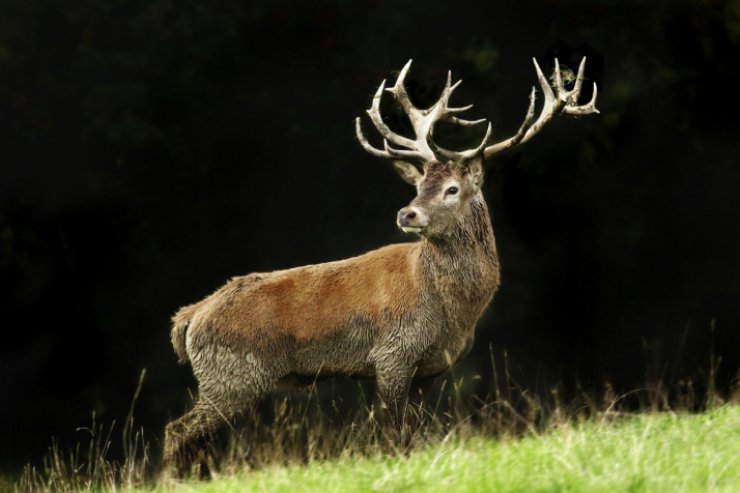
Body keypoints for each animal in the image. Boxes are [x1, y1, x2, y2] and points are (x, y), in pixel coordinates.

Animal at [163, 55, 600, 470]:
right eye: (419, 185)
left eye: (451, 189)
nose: (407, 213)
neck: (452, 312)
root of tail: (190, 318)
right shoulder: (392, 353)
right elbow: (392, 436)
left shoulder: (430, 369)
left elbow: (415, 436)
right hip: (233, 376)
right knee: (176, 430)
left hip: (227, 379)